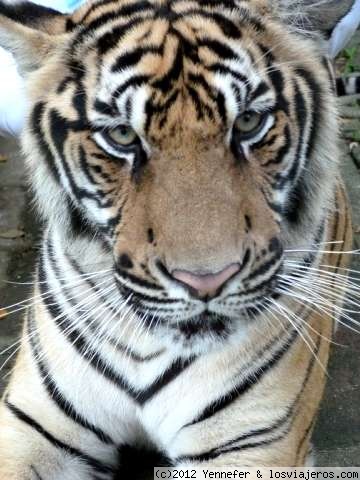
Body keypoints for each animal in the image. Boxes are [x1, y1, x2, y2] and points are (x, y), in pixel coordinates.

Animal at [0, 0, 354, 476]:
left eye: (248, 122)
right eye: (122, 135)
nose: (205, 281)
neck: (147, 346)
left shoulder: (251, 444)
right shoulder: (34, 426)